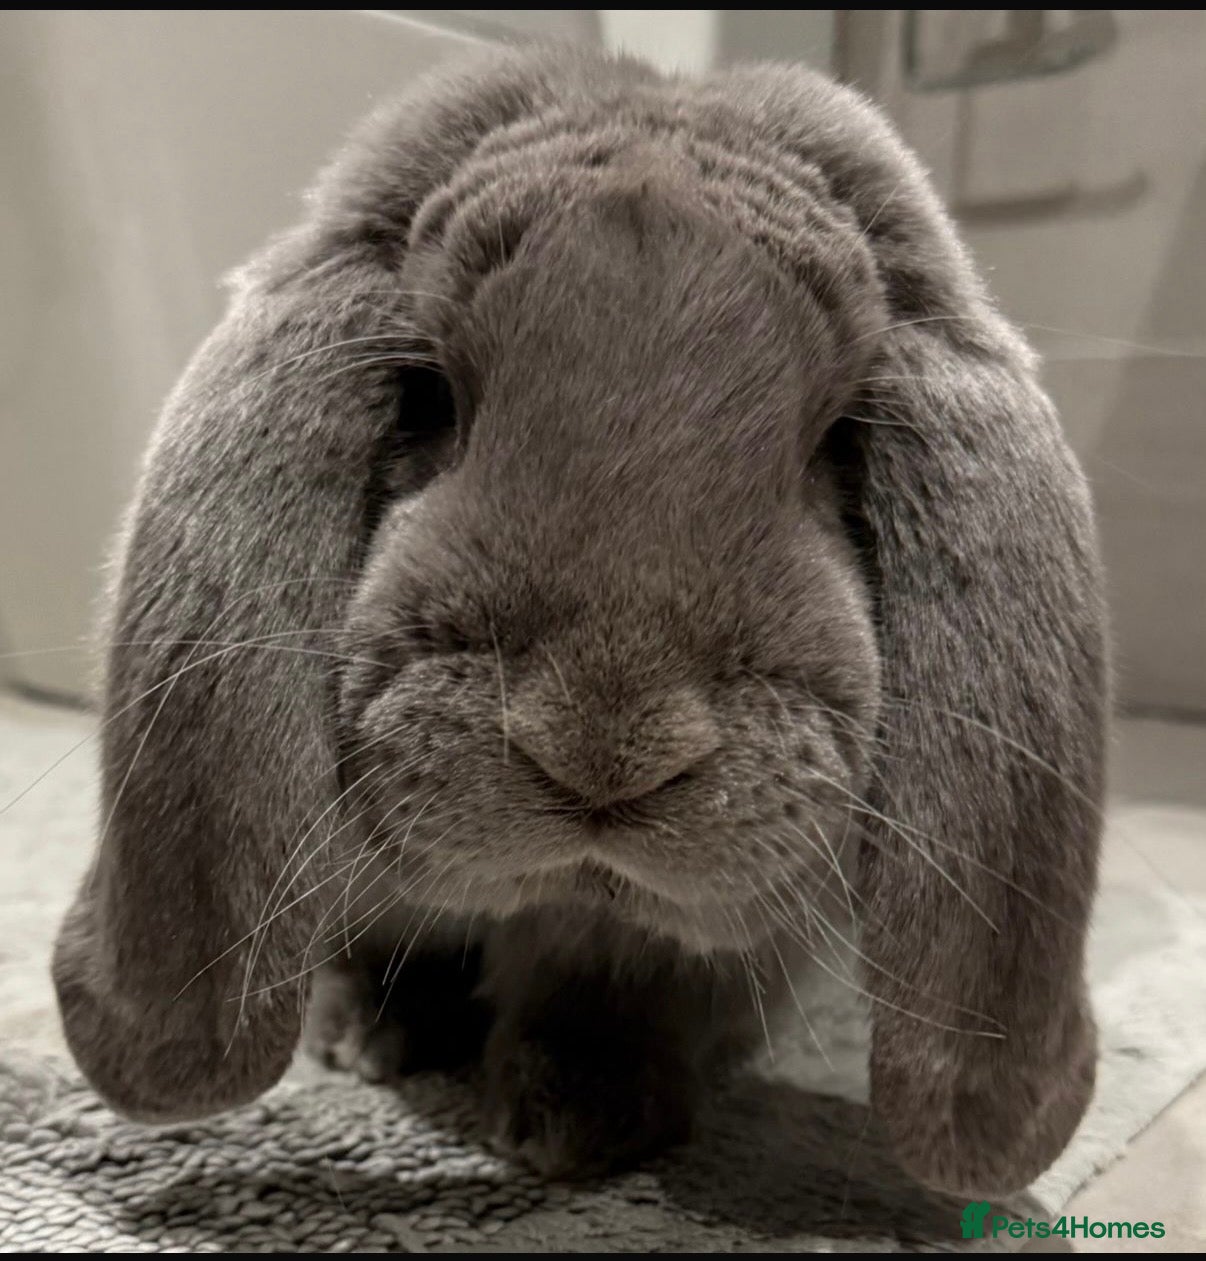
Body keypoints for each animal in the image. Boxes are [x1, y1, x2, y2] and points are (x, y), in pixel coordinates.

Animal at [52, 42, 1107, 1196]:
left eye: (838, 436)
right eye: (425, 395)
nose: (602, 748)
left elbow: (612, 991)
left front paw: (580, 1122)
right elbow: (380, 947)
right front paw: (360, 1039)